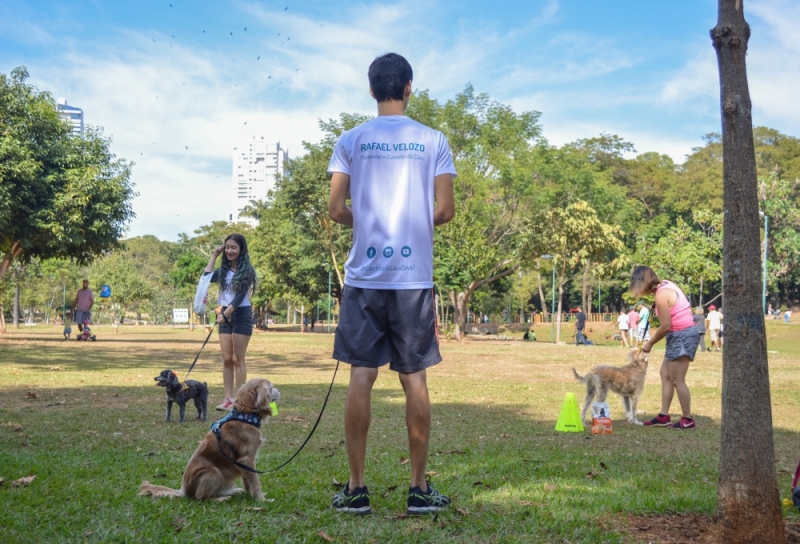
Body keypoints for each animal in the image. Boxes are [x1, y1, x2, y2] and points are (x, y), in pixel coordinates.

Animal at [141, 378, 282, 502]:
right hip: (213, 471)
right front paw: (262, 499)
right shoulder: (247, 460)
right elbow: (256, 482)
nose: (279, 390)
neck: (245, 414)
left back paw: (234, 491)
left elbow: (248, 482)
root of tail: (184, 491)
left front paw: (252, 495)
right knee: (201, 498)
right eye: (271, 387)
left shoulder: (243, 463)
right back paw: (222, 498)